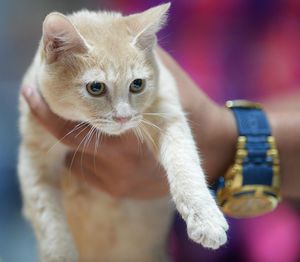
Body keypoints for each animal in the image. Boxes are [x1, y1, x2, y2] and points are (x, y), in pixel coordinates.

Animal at [17, 3, 229, 260]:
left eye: (137, 84)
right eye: (95, 87)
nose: (123, 117)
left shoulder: (169, 114)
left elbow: (185, 164)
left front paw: (206, 219)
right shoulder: (33, 160)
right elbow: (48, 220)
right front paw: (60, 253)